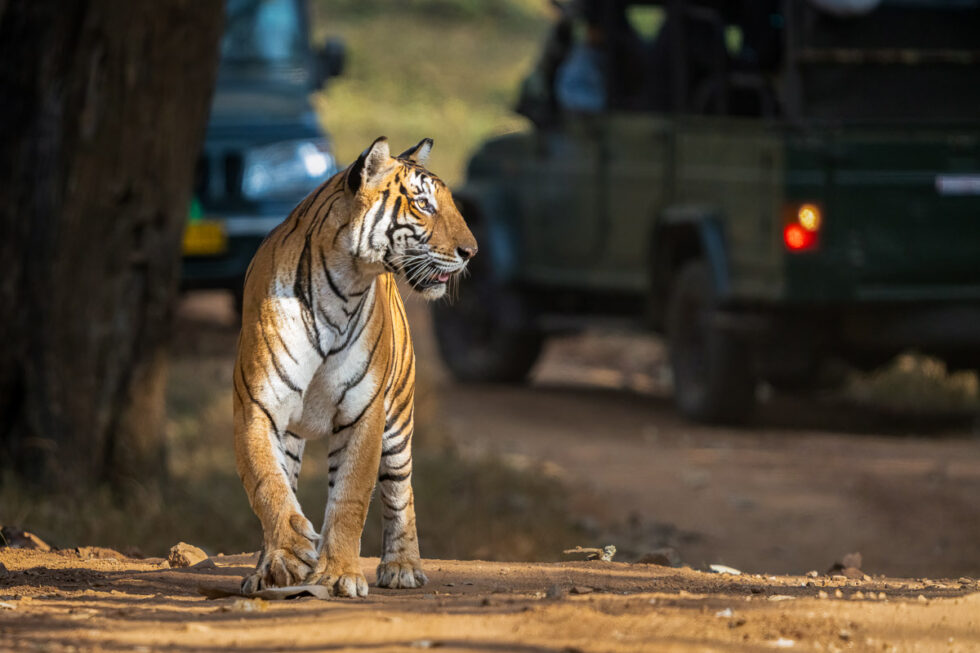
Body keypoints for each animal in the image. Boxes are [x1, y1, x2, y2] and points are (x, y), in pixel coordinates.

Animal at [233, 136, 477, 597]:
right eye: (423, 204)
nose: (471, 252)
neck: (343, 287)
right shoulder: (258, 406)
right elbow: (267, 484)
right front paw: (287, 556)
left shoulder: (364, 410)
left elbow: (350, 496)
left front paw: (339, 574)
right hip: (293, 433)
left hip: (398, 423)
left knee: (400, 493)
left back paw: (402, 567)